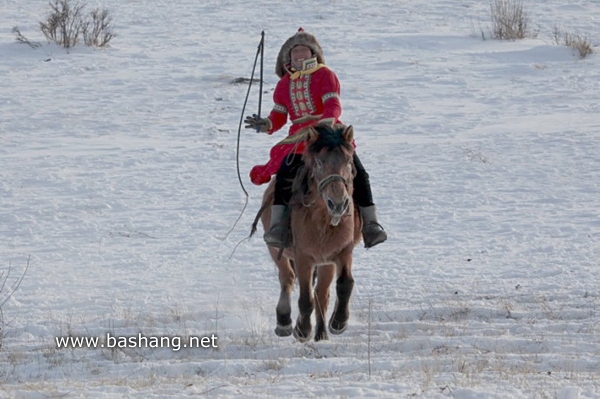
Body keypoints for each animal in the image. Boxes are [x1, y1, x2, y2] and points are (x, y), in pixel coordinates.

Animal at [250, 123, 360, 342]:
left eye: (349, 161)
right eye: (318, 163)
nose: (338, 204)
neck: (323, 222)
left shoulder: (342, 252)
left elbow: (344, 284)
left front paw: (338, 322)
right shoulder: (303, 257)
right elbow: (305, 298)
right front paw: (302, 330)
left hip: (325, 263)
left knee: (322, 293)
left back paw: (322, 334)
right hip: (276, 250)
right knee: (287, 278)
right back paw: (284, 322)